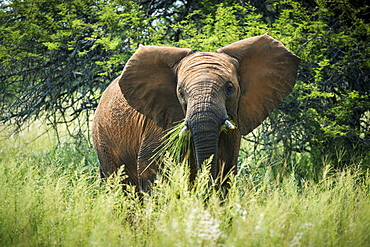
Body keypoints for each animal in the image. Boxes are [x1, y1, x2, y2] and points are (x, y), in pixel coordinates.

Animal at [92, 33, 300, 192]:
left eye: (230, 88)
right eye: (181, 93)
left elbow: (226, 171)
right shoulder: (159, 122)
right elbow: (152, 168)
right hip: (103, 139)